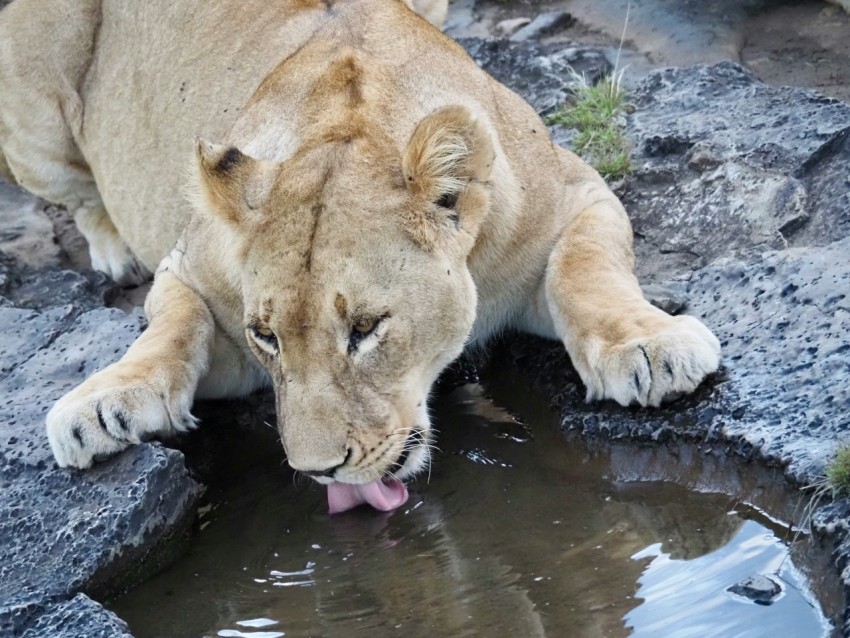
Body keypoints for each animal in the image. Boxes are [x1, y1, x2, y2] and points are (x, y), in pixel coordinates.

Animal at [0, 0, 719, 512]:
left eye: (366, 329)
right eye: (266, 336)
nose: (319, 473)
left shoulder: (581, 194)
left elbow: (586, 269)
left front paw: (649, 348)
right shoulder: (192, 269)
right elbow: (172, 325)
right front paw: (106, 404)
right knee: (82, 197)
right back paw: (114, 255)